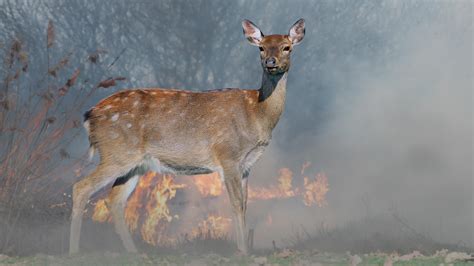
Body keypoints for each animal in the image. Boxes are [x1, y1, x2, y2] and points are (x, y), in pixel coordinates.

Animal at [70, 17, 308, 255]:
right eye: (261, 47)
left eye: (287, 47)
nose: (270, 62)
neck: (257, 113)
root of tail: (90, 115)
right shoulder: (228, 156)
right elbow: (236, 204)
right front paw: (242, 251)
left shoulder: (247, 165)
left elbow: (245, 204)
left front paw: (246, 249)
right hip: (117, 152)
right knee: (81, 187)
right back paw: (74, 250)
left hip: (136, 163)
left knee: (115, 199)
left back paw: (133, 251)